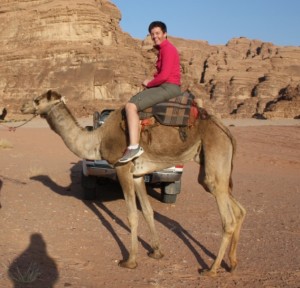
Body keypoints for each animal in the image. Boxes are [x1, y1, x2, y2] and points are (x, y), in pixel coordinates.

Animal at [21, 90, 246, 276]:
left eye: (38, 99)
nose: (23, 107)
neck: (97, 140)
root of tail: (226, 130)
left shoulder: (123, 168)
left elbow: (131, 215)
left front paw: (130, 261)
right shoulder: (138, 175)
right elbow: (147, 211)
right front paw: (156, 251)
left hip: (215, 153)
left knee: (227, 218)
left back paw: (212, 269)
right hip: (211, 164)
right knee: (238, 209)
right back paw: (233, 263)